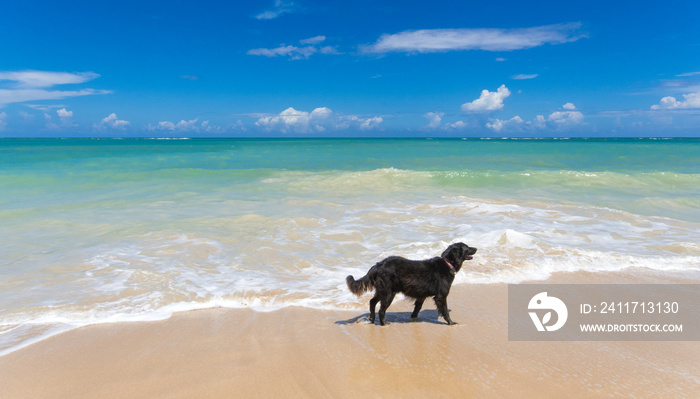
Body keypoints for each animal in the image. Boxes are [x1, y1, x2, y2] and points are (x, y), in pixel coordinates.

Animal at [348, 242, 478, 326]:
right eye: (467, 248)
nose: (476, 248)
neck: (447, 263)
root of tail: (379, 265)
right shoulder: (441, 296)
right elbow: (445, 311)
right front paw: (451, 322)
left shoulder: (421, 295)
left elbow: (417, 308)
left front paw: (414, 318)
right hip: (389, 293)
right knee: (381, 310)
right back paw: (383, 323)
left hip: (382, 291)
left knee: (372, 302)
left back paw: (371, 319)